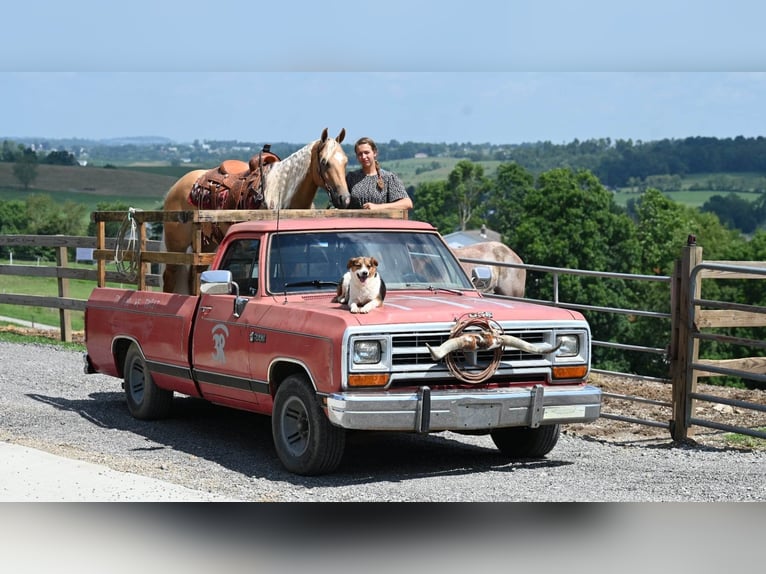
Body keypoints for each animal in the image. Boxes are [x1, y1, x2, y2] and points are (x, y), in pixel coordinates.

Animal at [165, 129, 354, 294]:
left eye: (345, 161)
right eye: (324, 162)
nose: (344, 199)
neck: (280, 193)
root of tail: (178, 186)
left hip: (206, 244)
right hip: (177, 246)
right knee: (170, 274)